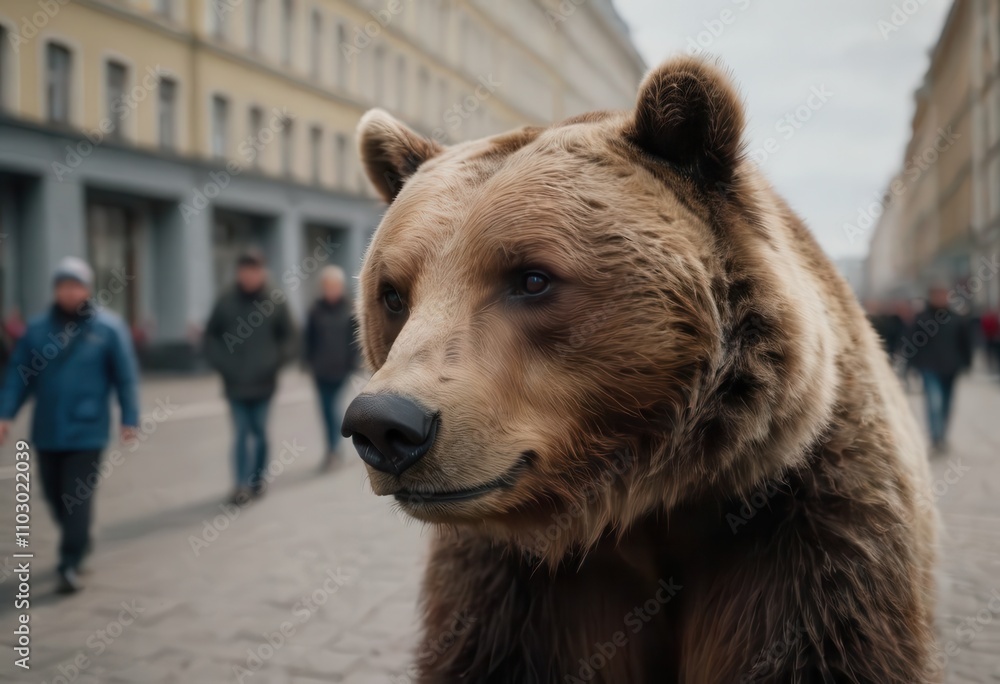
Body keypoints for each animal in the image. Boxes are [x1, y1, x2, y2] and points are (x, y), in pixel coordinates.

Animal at [341, 55, 938, 683]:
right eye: (393, 293)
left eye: (532, 278)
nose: (384, 424)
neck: (643, 504)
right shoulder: (517, 595)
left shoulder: (806, 540)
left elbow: (817, 647)